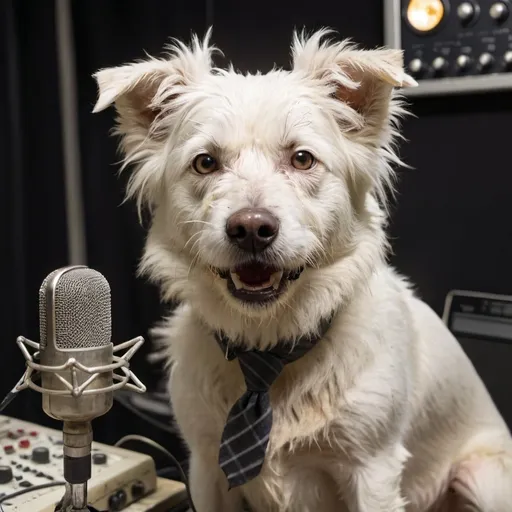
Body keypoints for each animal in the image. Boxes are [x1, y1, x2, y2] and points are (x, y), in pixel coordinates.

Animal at [93, 30, 512, 510]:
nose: (251, 229)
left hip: (481, 476)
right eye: (205, 162)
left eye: (302, 159)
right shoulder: (205, 467)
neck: (269, 347)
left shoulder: (373, 472)